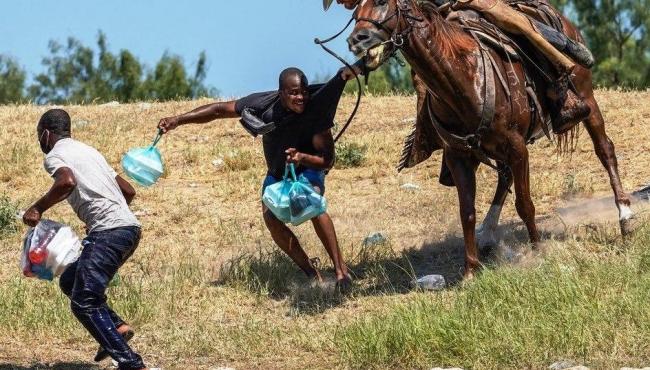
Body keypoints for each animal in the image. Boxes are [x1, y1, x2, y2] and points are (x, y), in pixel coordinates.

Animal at [344, 0, 632, 278]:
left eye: (382, 2)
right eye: (355, 12)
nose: (357, 39)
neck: (463, 78)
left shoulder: (517, 147)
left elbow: (525, 204)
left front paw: (538, 251)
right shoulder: (458, 156)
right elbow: (467, 212)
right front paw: (471, 270)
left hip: (587, 100)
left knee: (605, 150)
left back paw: (625, 217)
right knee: (504, 177)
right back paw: (488, 232)